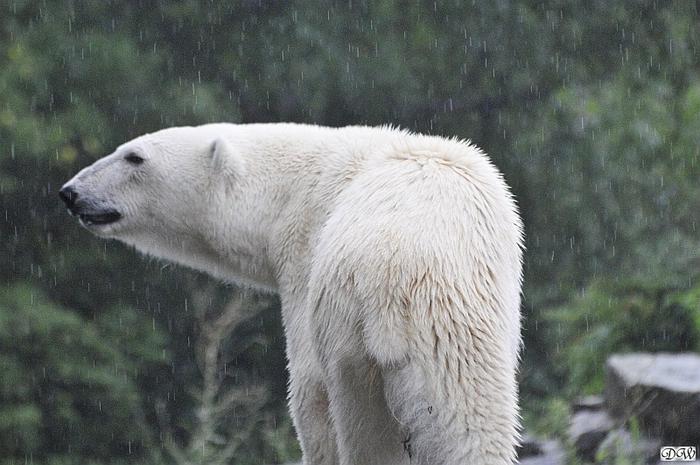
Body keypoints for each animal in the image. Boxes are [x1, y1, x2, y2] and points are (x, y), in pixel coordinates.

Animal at [60, 123, 524, 465]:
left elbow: (307, 391)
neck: (290, 184)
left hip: (383, 329)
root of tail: (393, 270)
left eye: (134, 156)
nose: (70, 192)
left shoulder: (303, 256)